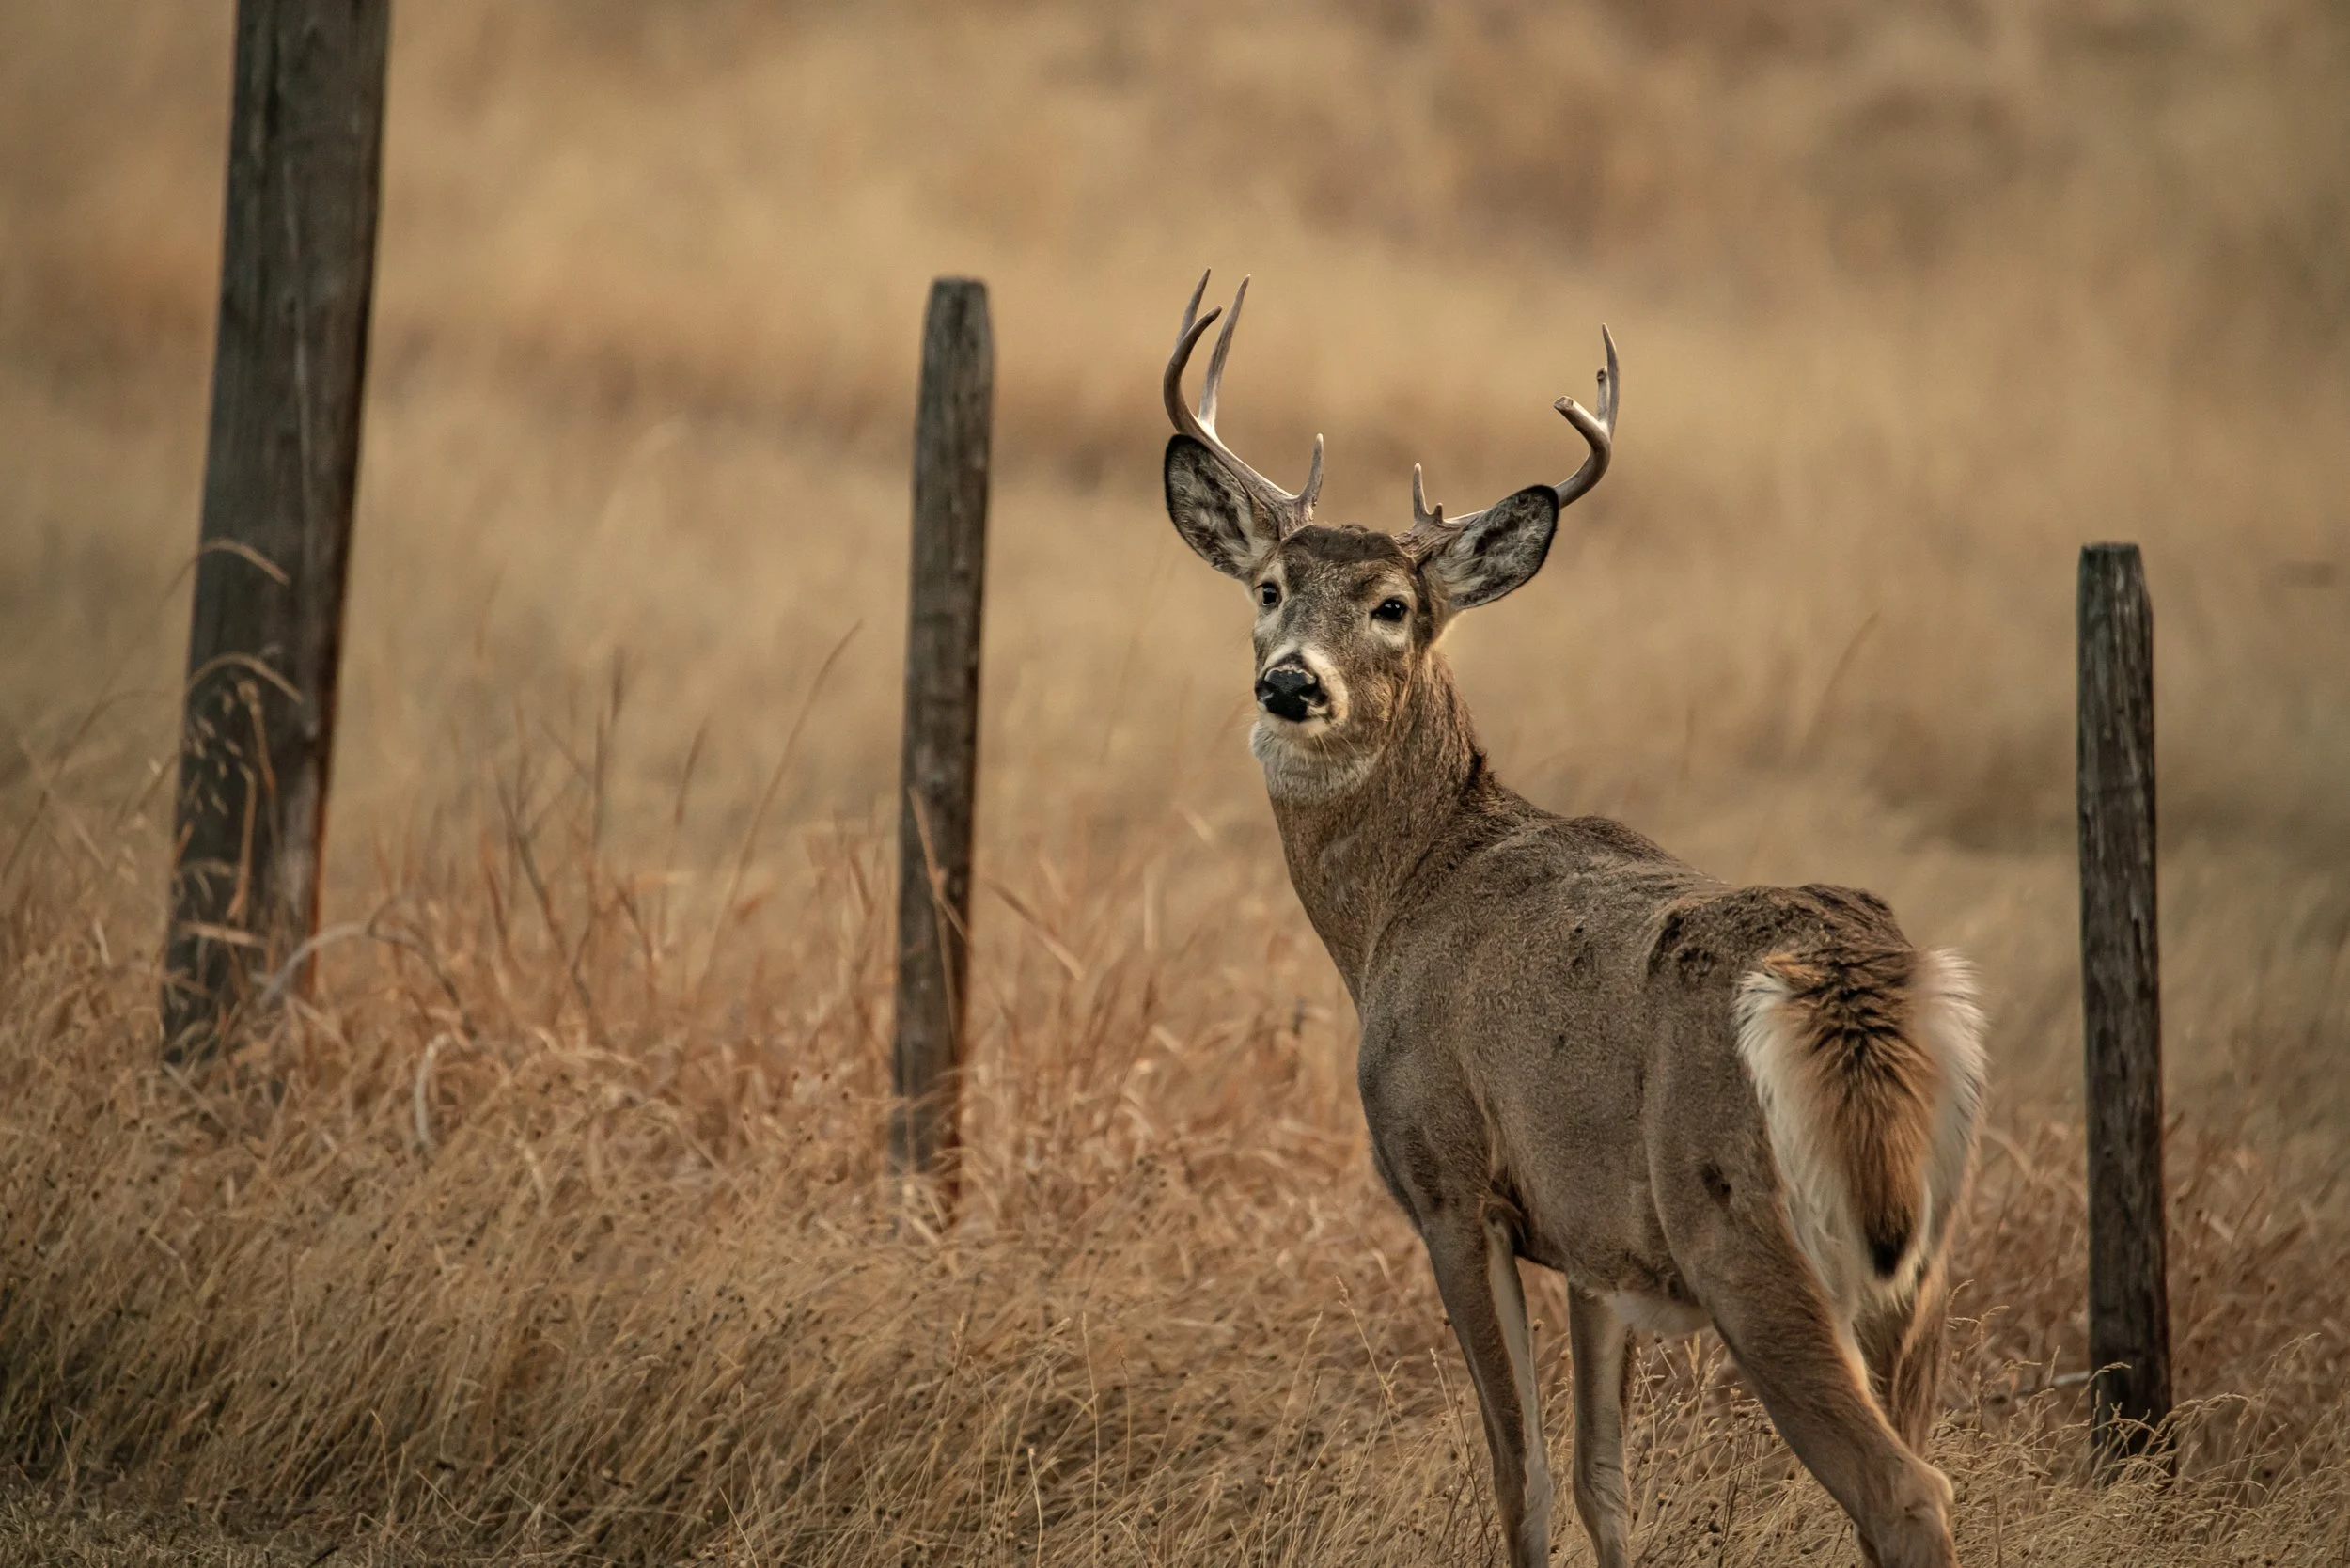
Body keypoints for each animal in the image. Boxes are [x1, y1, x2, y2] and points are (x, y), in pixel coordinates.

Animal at [1158, 273, 1987, 1568]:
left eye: (1392, 606)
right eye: (1269, 588)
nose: (1290, 682)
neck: (1405, 897)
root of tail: (1857, 985)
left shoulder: (1448, 1179)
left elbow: (1521, 1471)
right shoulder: (1597, 1245)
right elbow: (1605, 1477)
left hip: (1742, 1230)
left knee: (1904, 1490)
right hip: (1921, 1266)